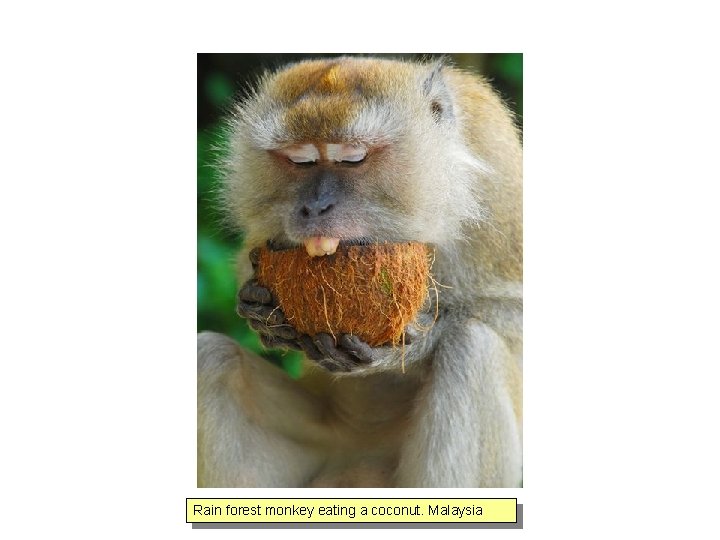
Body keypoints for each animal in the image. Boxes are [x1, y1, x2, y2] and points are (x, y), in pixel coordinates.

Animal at [197, 57, 524, 488]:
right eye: (300, 161)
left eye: (352, 159)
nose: (314, 207)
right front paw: (260, 310)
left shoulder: (496, 167)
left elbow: (512, 313)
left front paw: (413, 341)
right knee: (212, 359)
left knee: (472, 346)